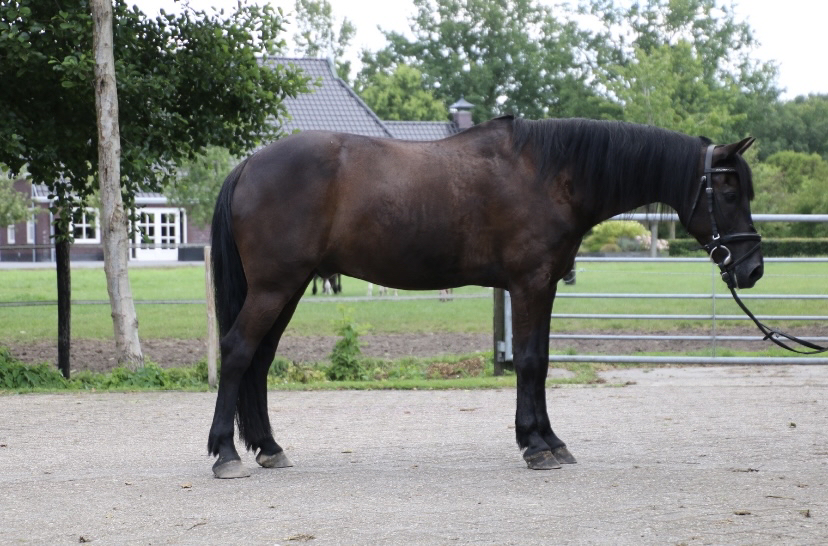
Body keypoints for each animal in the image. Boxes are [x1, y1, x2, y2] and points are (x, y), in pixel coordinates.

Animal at [208, 116, 763, 478]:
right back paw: (226, 455)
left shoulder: (544, 285)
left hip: (289, 288)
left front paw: (549, 441)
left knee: (259, 360)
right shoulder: (529, 284)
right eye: (729, 191)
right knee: (237, 352)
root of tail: (250, 163)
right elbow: (530, 361)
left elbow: (539, 361)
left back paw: (269, 448)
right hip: (276, 286)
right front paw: (536, 446)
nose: (753, 268)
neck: (550, 174)